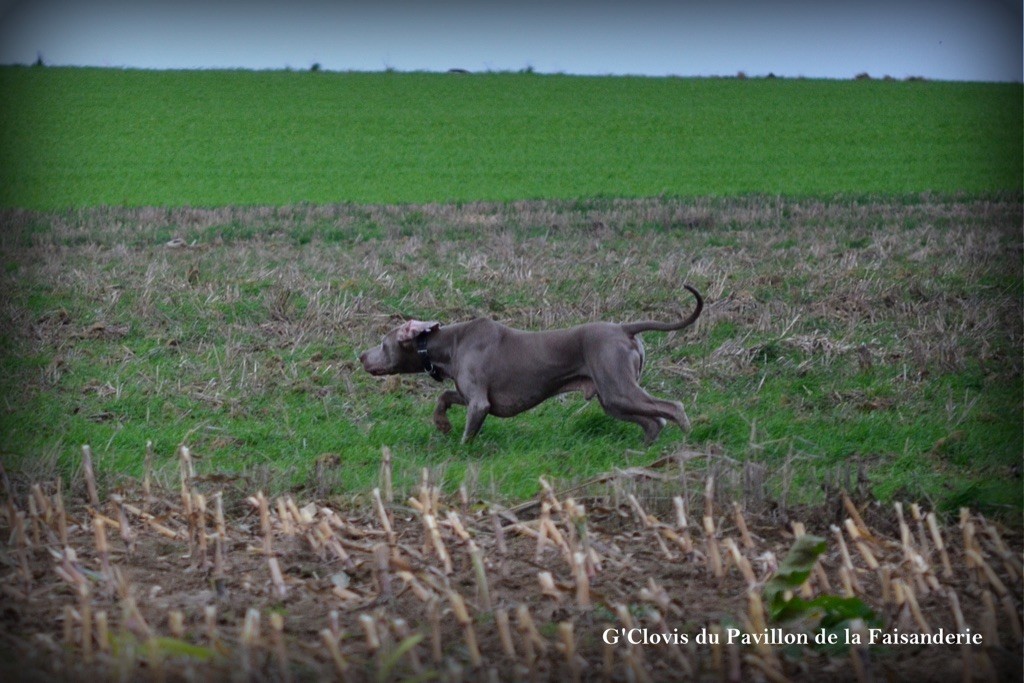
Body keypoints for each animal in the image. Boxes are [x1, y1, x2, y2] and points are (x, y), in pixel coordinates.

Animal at [360, 282, 704, 444]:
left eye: (383, 344)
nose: (361, 356)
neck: (450, 344)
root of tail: (623, 328)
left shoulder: (479, 403)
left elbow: (468, 434)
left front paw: (458, 449)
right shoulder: (468, 392)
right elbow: (444, 396)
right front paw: (441, 423)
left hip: (618, 387)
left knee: (673, 408)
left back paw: (688, 441)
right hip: (612, 398)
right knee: (654, 421)